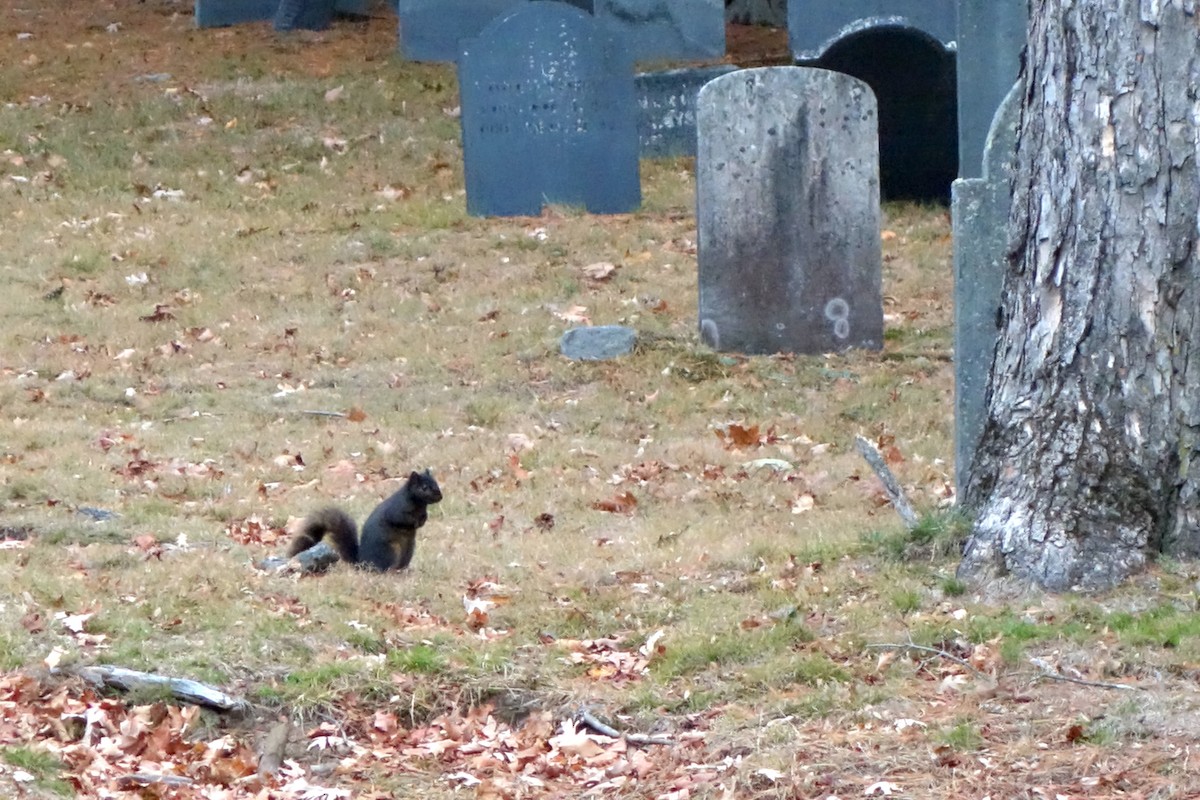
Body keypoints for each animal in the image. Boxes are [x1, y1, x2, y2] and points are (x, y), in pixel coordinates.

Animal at [287, 469, 443, 571]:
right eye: (424, 488)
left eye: (436, 483)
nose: (440, 496)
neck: (419, 504)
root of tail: (362, 563)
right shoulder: (397, 509)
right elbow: (400, 518)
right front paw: (415, 521)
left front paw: (423, 520)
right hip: (390, 551)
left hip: (408, 550)